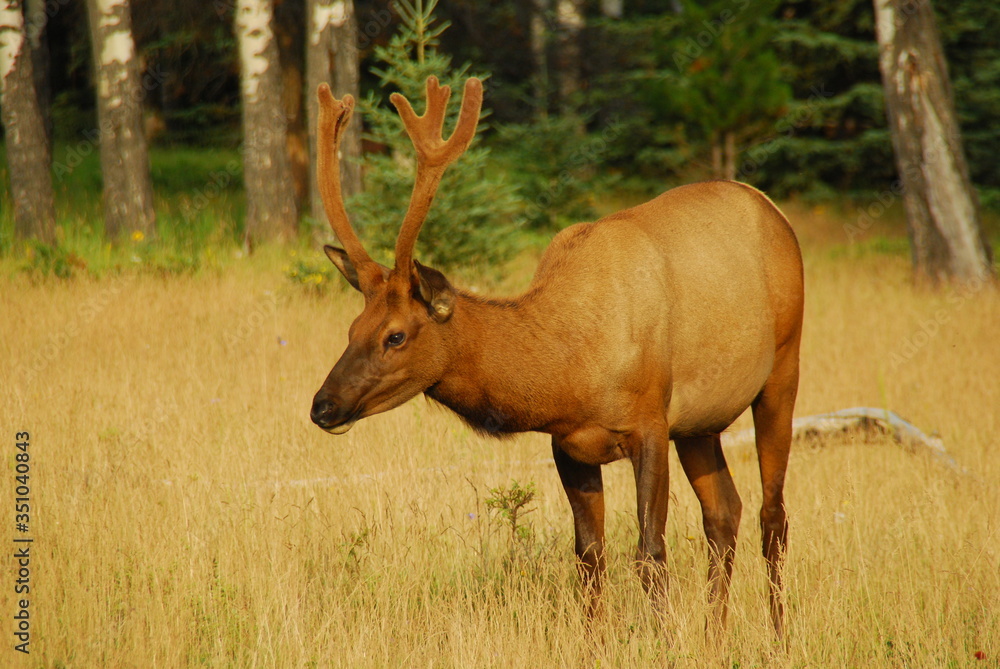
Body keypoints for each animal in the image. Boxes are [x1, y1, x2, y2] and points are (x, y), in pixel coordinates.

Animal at [309, 76, 804, 638]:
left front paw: (663, 641)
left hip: (782, 368)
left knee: (772, 513)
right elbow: (589, 558)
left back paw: (778, 636)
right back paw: (714, 636)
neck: (568, 371)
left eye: (395, 336)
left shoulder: (649, 421)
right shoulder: (568, 444)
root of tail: (772, 208)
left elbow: (650, 552)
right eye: (352, 328)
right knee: (724, 511)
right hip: (700, 423)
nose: (323, 405)